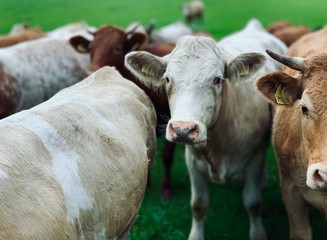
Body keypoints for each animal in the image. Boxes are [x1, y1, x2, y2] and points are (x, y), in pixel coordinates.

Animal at [124, 18, 288, 240]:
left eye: (217, 79)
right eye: (167, 79)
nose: (183, 129)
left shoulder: (255, 155)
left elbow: (253, 202)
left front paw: (258, 233)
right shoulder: (192, 160)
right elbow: (198, 205)